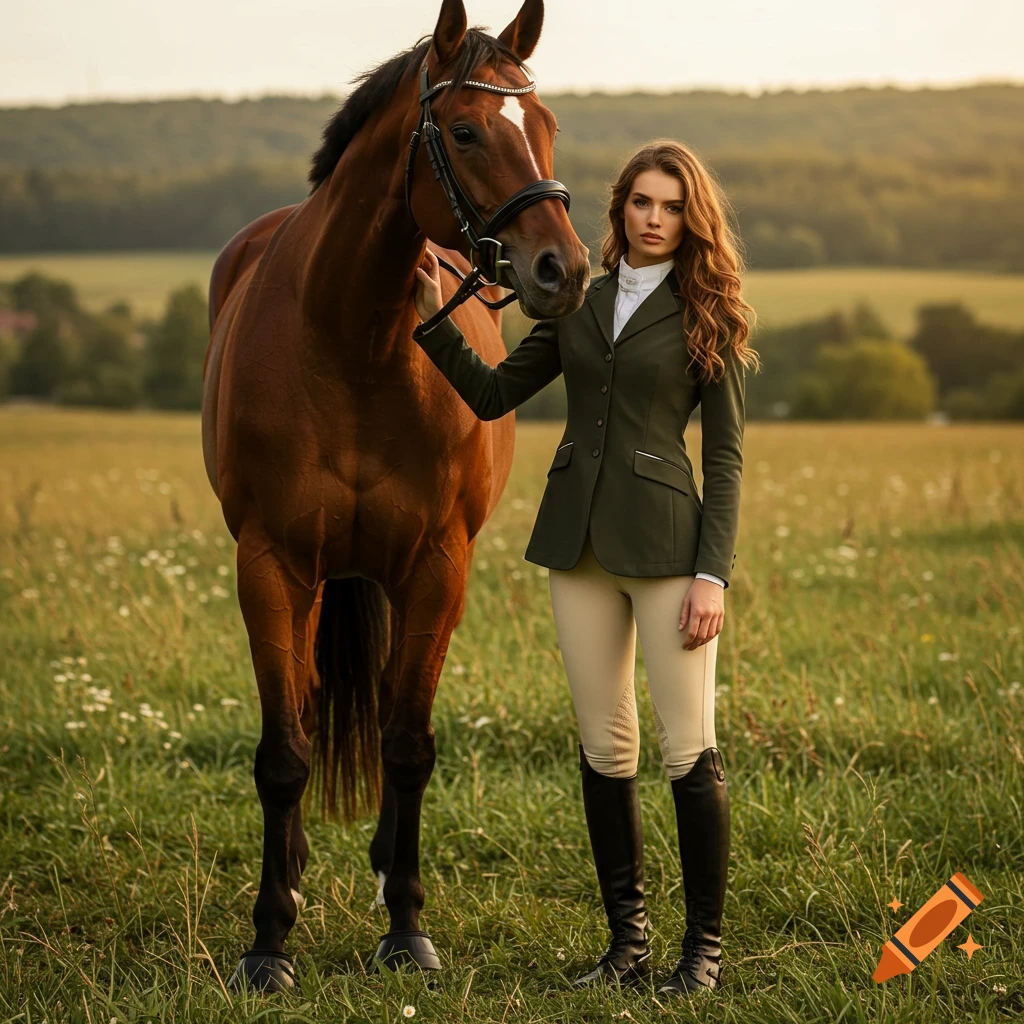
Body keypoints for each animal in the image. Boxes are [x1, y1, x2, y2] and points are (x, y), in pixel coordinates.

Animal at [201, 0, 590, 992]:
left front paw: (406, 929)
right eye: (465, 130)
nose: (563, 270)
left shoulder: (435, 568)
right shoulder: (271, 565)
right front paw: (269, 939)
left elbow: (408, 743)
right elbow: (284, 752)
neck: (354, 339)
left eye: (545, 125)